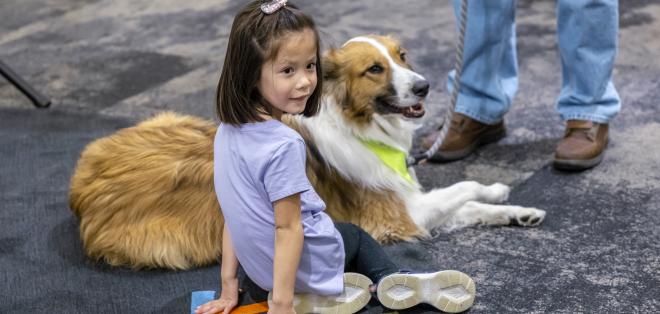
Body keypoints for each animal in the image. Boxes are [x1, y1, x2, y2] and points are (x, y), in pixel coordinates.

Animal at [69, 35, 548, 270]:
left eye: (402, 55)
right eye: (375, 69)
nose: (425, 86)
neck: (357, 124)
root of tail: (80, 189)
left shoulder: (411, 201)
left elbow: (468, 205)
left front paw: (516, 208)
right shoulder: (400, 215)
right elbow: (463, 187)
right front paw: (496, 190)